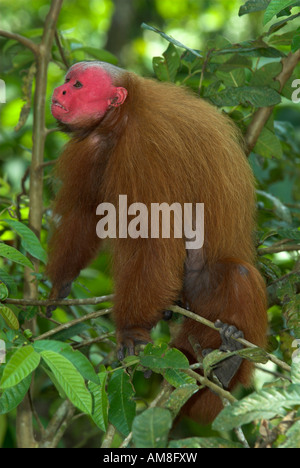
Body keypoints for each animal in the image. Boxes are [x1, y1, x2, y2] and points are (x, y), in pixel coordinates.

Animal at [47, 60, 268, 422]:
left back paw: (228, 365)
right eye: (67, 81)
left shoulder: (145, 150)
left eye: (77, 85)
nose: (59, 90)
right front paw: (61, 282)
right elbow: (85, 213)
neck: (118, 121)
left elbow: (155, 242)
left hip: (203, 291)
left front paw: (132, 330)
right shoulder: (92, 146)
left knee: (239, 276)